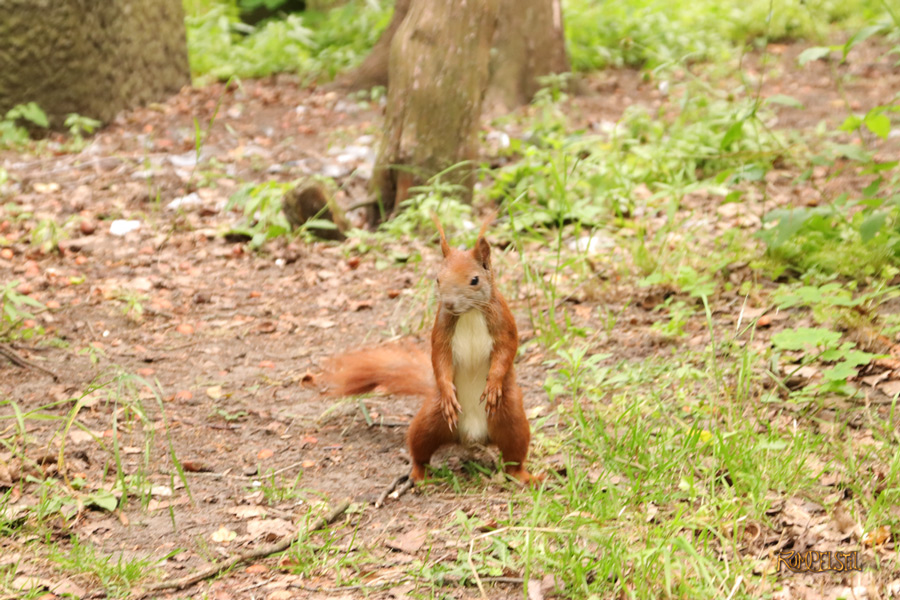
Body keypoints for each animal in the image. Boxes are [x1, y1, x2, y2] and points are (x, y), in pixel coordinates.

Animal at [325, 216, 536, 484]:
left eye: (474, 280)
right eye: (438, 279)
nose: (449, 303)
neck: (469, 314)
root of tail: (472, 437)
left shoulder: (504, 324)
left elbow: (506, 352)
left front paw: (493, 384)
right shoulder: (441, 331)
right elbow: (440, 359)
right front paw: (447, 391)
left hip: (511, 418)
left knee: (514, 454)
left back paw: (524, 476)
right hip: (431, 420)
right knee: (420, 447)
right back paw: (419, 475)